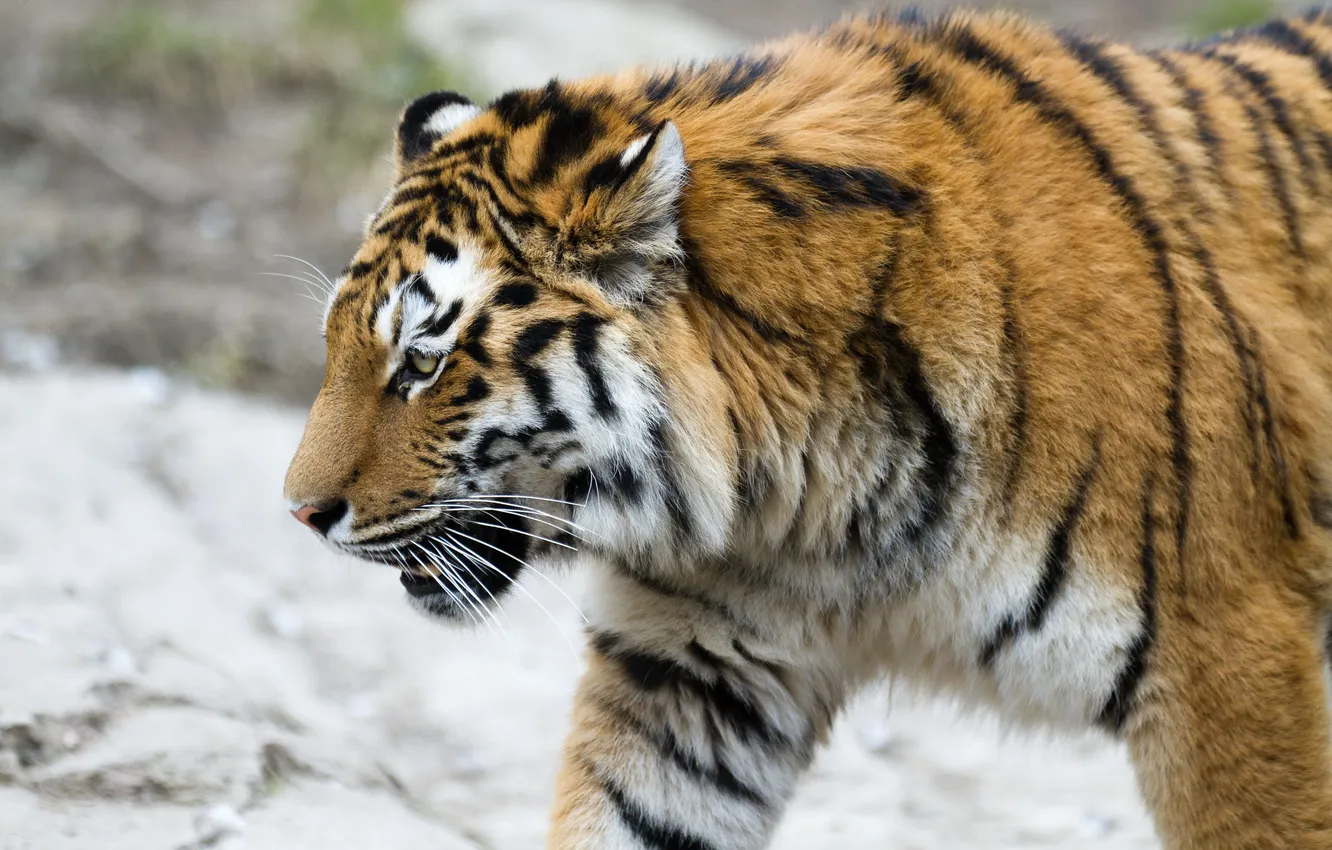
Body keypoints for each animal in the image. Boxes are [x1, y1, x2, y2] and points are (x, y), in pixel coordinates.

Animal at [283, 5, 1332, 848]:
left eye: (423, 362)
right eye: (337, 343)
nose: (299, 515)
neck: (802, 504)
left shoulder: (1231, 670)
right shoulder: (695, 670)